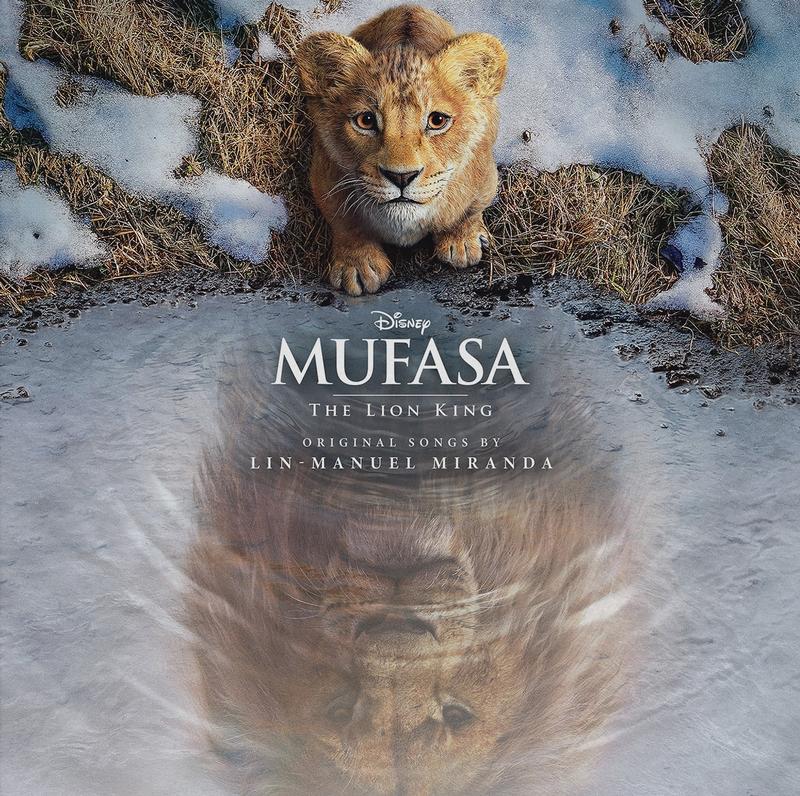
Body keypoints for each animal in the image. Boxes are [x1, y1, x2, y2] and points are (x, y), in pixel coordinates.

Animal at [294, 5, 508, 296]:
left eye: (437, 120)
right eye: (366, 120)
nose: (401, 177)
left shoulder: (485, 176)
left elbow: (468, 211)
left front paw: (462, 242)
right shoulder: (324, 177)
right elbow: (345, 223)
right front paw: (357, 266)